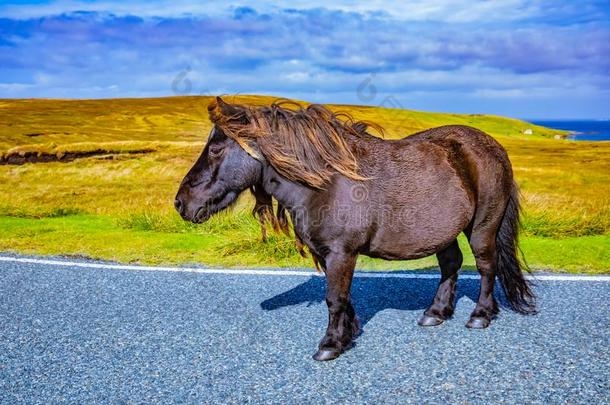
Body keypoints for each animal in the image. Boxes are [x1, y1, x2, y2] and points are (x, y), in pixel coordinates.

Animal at [175, 97, 532, 360]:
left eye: (216, 148)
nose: (181, 203)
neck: (326, 183)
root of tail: (494, 148)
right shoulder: (330, 254)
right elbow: (343, 298)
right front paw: (347, 334)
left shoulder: (341, 252)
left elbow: (334, 298)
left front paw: (330, 344)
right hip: (443, 233)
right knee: (451, 265)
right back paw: (436, 312)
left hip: (482, 227)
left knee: (486, 266)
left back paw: (480, 315)